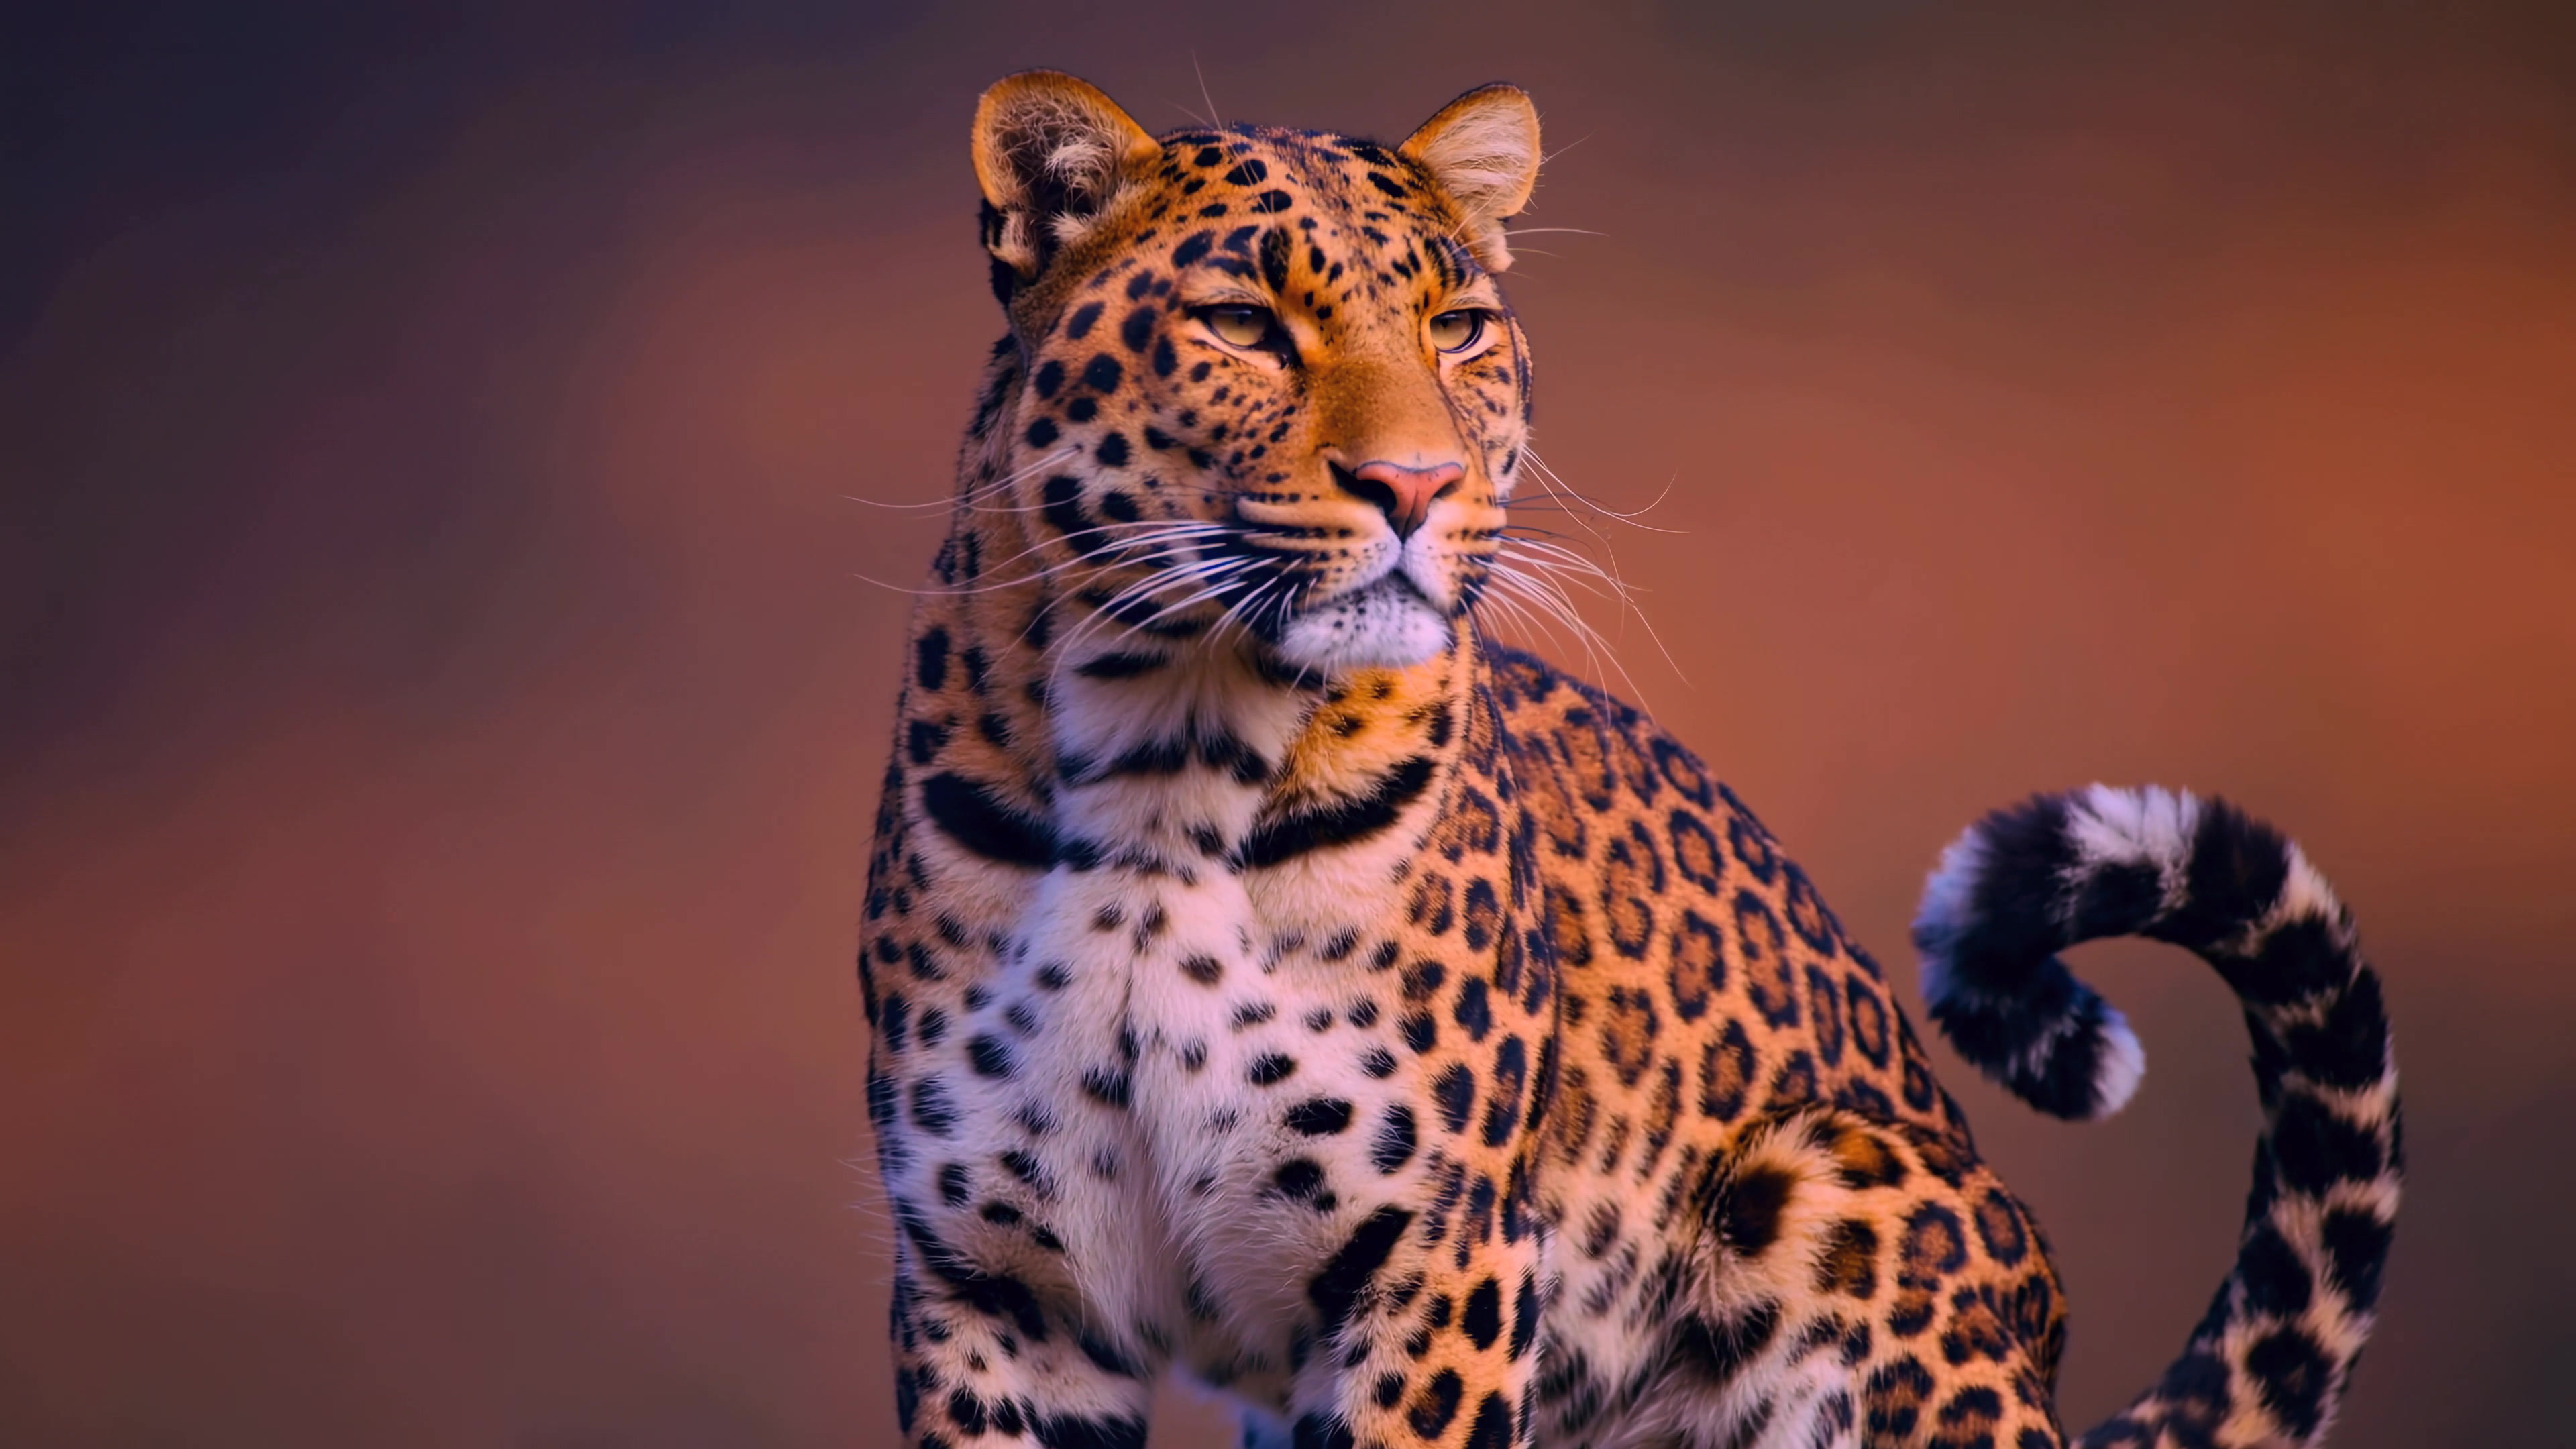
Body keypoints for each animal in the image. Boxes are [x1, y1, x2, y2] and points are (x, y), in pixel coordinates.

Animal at [855, 70, 2402, 1449]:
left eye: (1458, 329)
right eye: (1242, 324)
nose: (1416, 486)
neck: (1165, 755)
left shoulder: (1434, 1260)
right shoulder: (994, 1294)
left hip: (1836, 1187)